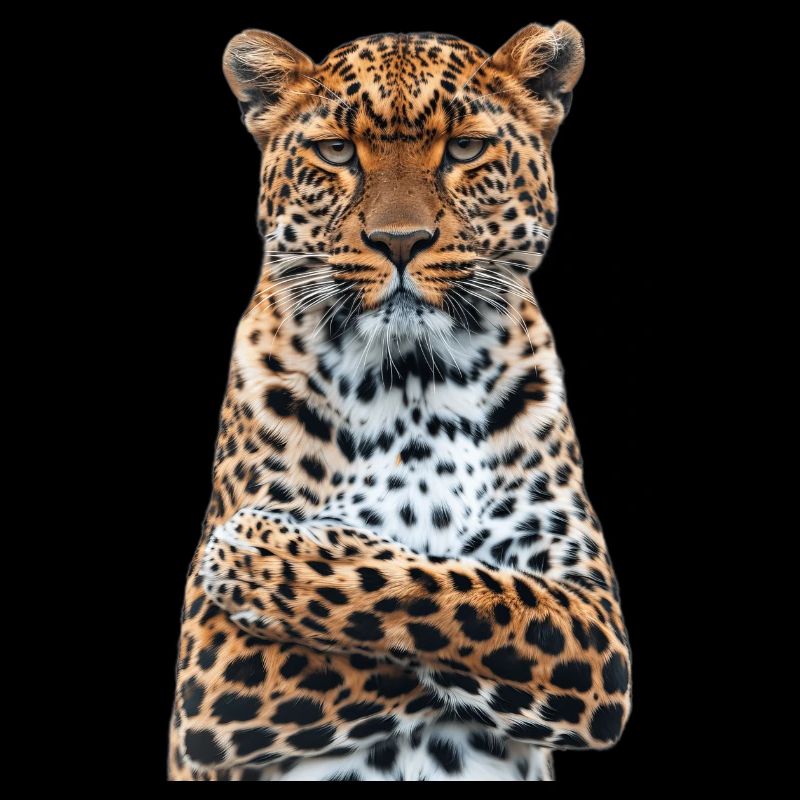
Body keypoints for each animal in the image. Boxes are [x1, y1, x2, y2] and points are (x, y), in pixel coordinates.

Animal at [168, 22, 632, 781]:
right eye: (336, 152)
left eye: (465, 149)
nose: (400, 242)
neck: (412, 381)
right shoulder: (208, 673)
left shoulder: (594, 619)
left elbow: (450, 592)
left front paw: (258, 555)